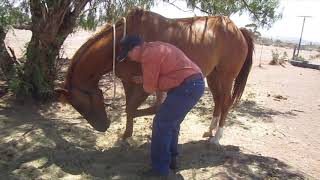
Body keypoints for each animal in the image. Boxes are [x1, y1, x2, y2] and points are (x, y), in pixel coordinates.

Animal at [55, 8, 255, 145]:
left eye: (82, 105)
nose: (103, 127)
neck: (121, 45)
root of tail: (238, 30)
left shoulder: (143, 84)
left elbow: (132, 108)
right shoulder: (128, 81)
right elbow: (130, 107)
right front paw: (126, 134)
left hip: (226, 76)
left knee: (226, 102)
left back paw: (217, 137)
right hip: (214, 76)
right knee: (218, 101)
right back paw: (210, 130)